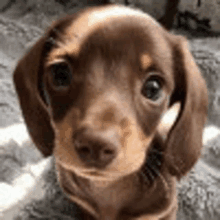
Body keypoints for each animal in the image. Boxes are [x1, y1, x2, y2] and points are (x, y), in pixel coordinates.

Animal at [13, 3, 208, 220]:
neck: (108, 187)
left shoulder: (166, 211)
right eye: (60, 74)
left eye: (153, 88)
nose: (95, 145)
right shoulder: (82, 206)